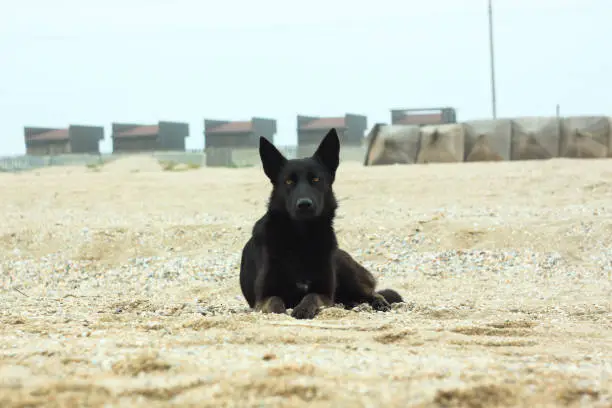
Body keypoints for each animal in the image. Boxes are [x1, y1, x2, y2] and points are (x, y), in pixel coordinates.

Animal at [240, 127, 406, 318]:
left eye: (316, 179)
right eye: (288, 181)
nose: (304, 204)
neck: (301, 238)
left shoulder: (325, 294)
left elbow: (311, 296)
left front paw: (302, 309)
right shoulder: (262, 298)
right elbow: (275, 302)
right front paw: (282, 312)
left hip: (344, 266)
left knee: (373, 293)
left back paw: (378, 303)